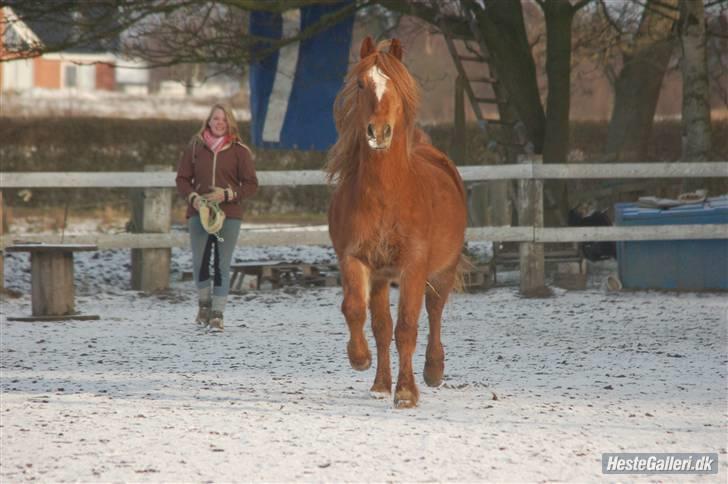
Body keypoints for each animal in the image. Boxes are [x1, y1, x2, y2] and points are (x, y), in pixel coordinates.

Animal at [326, 36, 466, 408]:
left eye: (397, 87)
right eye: (362, 84)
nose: (378, 132)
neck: (386, 196)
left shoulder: (413, 267)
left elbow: (407, 327)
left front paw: (405, 392)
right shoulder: (356, 260)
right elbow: (357, 311)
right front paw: (359, 359)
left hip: (442, 271)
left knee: (434, 311)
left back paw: (433, 371)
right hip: (380, 278)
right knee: (381, 327)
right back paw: (379, 384)